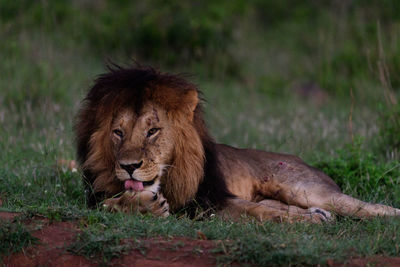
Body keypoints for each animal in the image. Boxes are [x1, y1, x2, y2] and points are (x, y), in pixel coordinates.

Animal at [76, 65, 400, 224]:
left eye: (152, 131)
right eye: (118, 133)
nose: (129, 166)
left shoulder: (212, 198)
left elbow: (255, 213)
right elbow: (106, 204)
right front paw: (141, 207)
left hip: (306, 190)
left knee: (369, 207)